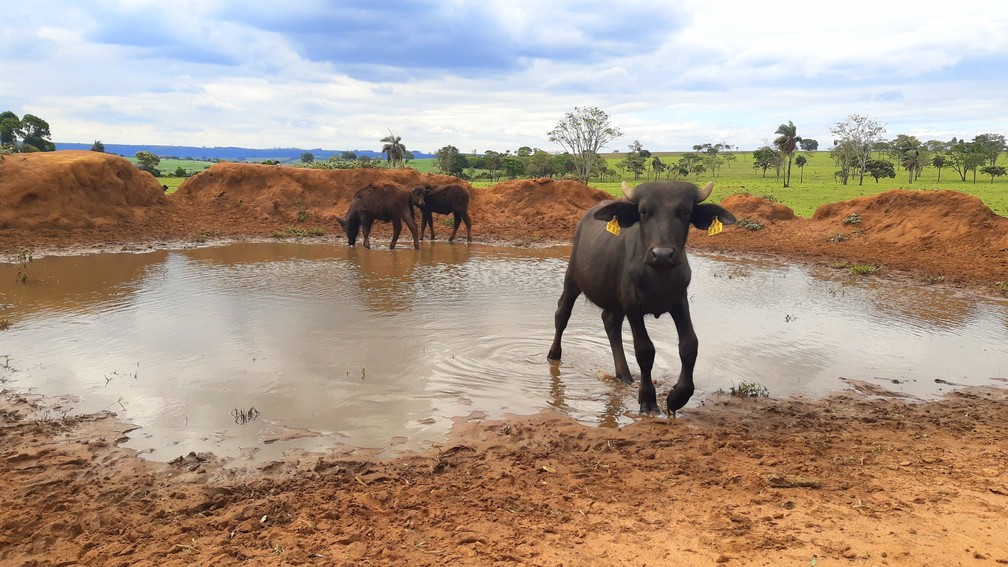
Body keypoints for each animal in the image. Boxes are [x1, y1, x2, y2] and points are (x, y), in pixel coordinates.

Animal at [548, 178, 737, 413]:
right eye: (644, 211)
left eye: (686, 211)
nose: (662, 254)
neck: (658, 277)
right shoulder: (633, 306)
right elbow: (645, 350)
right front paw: (647, 399)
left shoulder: (680, 302)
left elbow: (689, 345)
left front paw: (678, 397)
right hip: (572, 279)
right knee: (562, 314)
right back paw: (554, 354)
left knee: (610, 322)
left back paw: (624, 374)